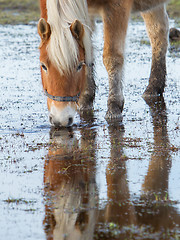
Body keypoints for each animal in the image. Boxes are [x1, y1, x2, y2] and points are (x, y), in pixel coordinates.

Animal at [38, 0, 169, 127]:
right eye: (43, 66)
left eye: (79, 66)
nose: (61, 120)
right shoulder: (87, 13)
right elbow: (88, 51)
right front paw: (85, 101)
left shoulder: (117, 7)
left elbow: (112, 57)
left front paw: (114, 107)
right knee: (158, 31)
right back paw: (153, 88)